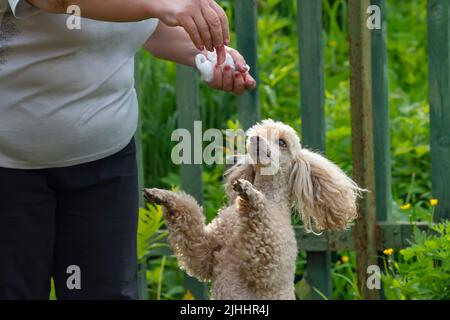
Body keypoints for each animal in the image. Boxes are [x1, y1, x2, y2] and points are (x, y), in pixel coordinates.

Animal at [144, 119, 362, 298]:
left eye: (282, 142)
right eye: (259, 132)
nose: (255, 139)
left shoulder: (269, 264)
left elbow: (261, 229)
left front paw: (250, 193)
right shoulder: (205, 253)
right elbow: (190, 223)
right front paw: (163, 196)